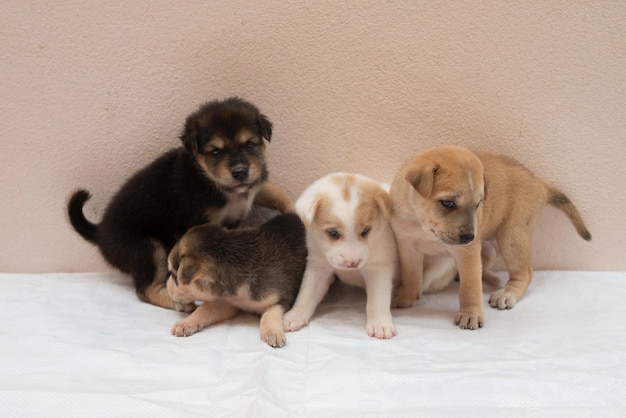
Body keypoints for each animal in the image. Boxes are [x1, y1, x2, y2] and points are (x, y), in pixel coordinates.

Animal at [68, 98, 292, 312]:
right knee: (145, 289)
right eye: (215, 152)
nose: (240, 172)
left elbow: (273, 190)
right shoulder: (195, 223)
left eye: (249, 144)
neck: (215, 183)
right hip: (146, 248)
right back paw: (178, 303)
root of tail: (100, 233)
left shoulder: (252, 188)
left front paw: (293, 208)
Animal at [282, 173, 398, 340]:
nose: (352, 263)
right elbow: (306, 294)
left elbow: (377, 300)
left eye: (365, 231)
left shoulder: (379, 269)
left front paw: (380, 324)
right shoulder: (318, 267)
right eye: (333, 233)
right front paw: (295, 315)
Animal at [390, 146, 588, 330]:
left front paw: (470, 314)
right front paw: (407, 296)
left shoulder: (467, 253)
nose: (469, 237)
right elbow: (411, 275)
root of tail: (539, 183)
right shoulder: (407, 246)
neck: (424, 227)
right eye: (447, 203)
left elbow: (470, 287)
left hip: (511, 237)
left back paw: (507, 294)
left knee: (525, 273)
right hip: (491, 247)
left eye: (478, 204)